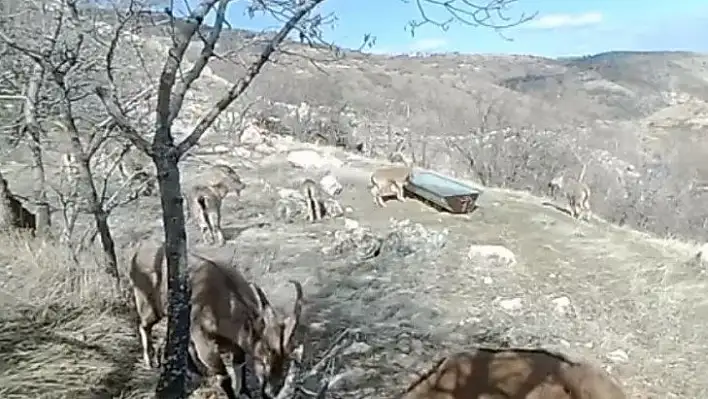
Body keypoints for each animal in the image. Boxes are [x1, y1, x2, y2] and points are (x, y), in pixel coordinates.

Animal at [129, 241, 302, 399]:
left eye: (286, 360)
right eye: (266, 354)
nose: (271, 392)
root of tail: (138, 253)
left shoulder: (236, 345)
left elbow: (239, 368)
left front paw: (245, 391)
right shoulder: (205, 342)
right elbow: (224, 378)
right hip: (149, 305)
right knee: (144, 325)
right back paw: (149, 361)